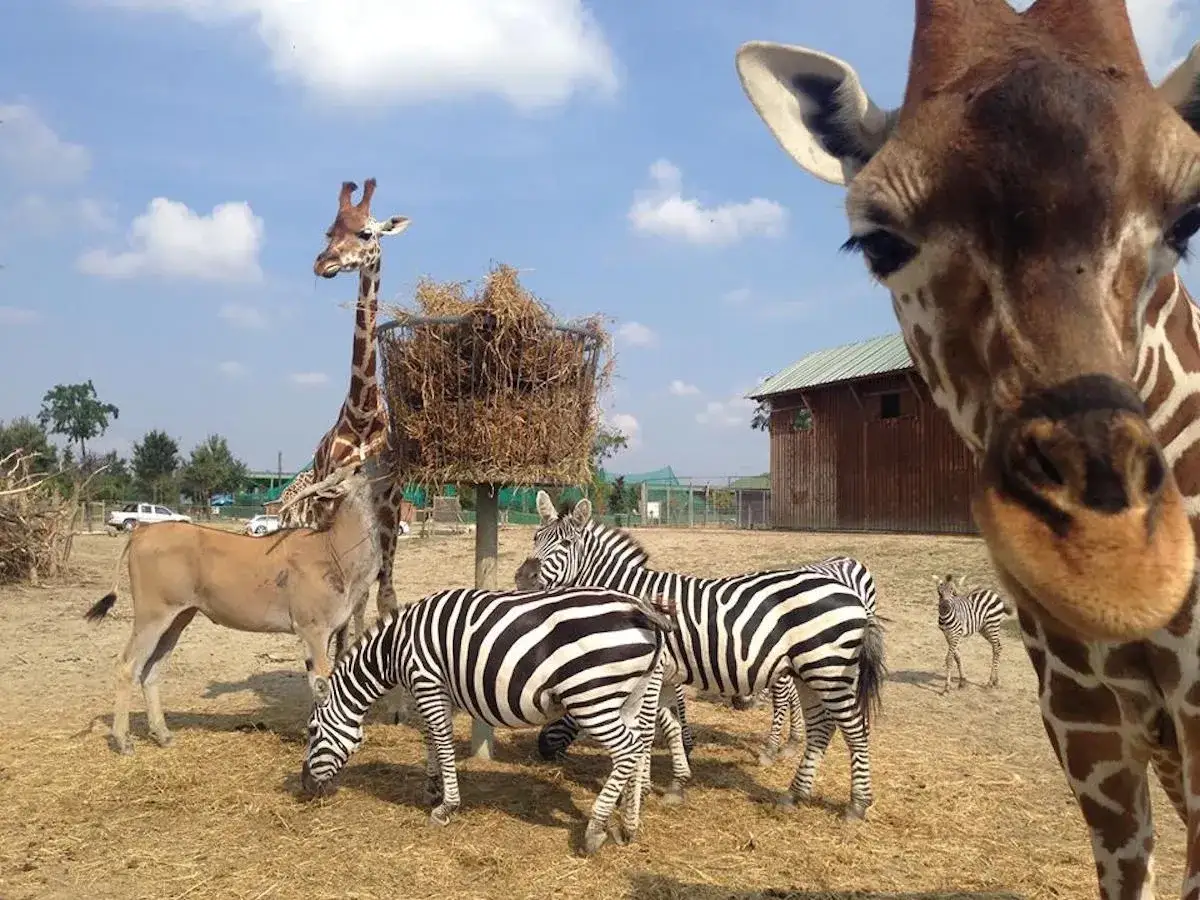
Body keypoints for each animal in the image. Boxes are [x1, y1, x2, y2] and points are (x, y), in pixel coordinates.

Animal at [281, 177, 411, 636]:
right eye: (329, 231)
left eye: (366, 233)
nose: (324, 263)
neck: (362, 415)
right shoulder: (331, 501)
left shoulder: (388, 501)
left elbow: (384, 593)